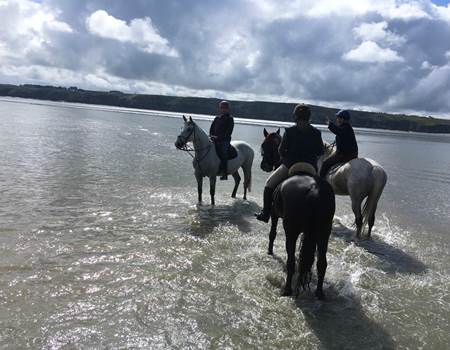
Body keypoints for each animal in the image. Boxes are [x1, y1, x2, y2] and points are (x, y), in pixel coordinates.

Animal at [260, 129, 334, 298]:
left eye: (265, 145)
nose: (263, 165)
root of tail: (314, 189)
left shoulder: (274, 215)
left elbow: (272, 234)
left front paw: (269, 250)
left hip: (291, 230)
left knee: (291, 262)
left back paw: (287, 290)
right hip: (324, 232)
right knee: (322, 263)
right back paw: (319, 293)